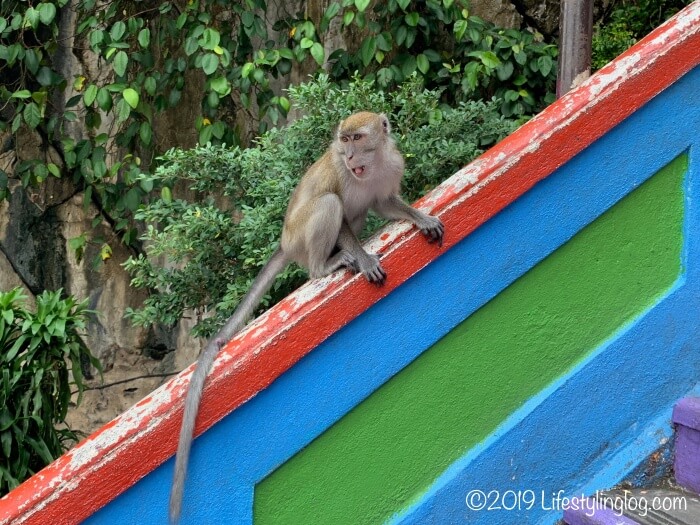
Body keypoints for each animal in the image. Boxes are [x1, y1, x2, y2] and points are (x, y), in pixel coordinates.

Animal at [169, 111, 440, 520]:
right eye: (344, 141)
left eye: (357, 138)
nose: (348, 155)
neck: (371, 165)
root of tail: (284, 242)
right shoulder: (341, 176)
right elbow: (339, 211)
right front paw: (362, 258)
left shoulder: (391, 166)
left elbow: (385, 203)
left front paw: (419, 217)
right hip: (301, 238)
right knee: (329, 205)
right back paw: (324, 266)